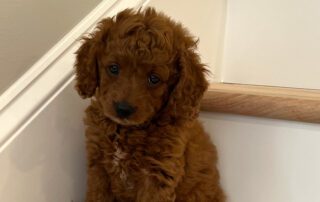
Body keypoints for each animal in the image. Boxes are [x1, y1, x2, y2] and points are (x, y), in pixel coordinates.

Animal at [75, 7, 225, 201]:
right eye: (114, 68)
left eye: (154, 79)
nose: (123, 109)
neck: (126, 131)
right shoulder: (99, 168)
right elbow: (97, 195)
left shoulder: (157, 176)